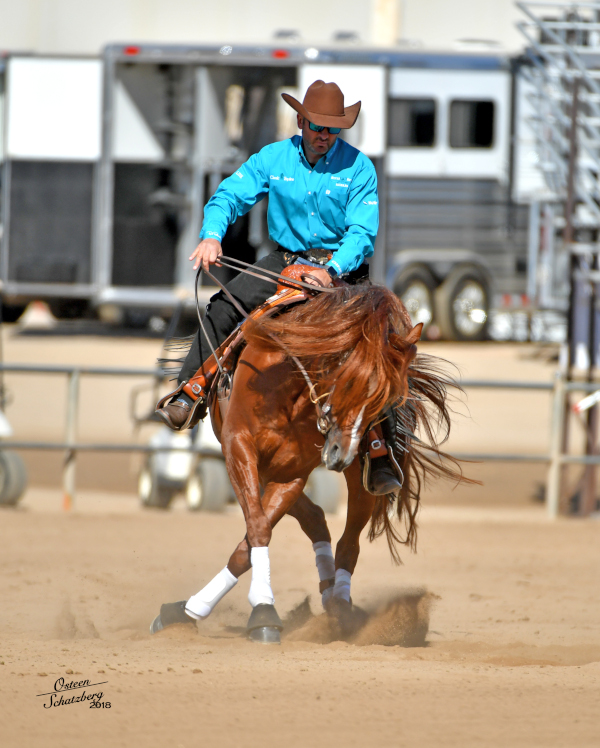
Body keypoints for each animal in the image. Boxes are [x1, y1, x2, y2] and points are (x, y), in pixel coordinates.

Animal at [152, 282, 462, 644]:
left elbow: (252, 540)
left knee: (348, 543)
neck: (288, 390)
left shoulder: (291, 472)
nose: (342, 452)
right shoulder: (239, 449)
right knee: (315, 519)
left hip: (361, 479)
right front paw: (238, 609)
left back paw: (339, 607)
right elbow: (258, 529)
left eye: (388, 397)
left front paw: (254, 609)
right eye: (348, 381)